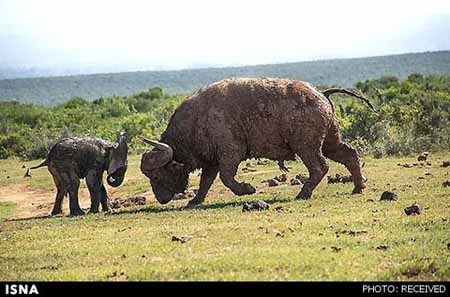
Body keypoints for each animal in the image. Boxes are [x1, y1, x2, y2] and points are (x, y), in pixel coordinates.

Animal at [140, 78, 372, 208]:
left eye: (157, 175)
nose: (161, 199)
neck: (198, 120)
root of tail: (321, 95)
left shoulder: (230, 155)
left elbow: (227, 178)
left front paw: (247, 189)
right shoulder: (212, 162)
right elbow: (206, 182)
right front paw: (195, 201)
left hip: (307, 147)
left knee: (320, 167)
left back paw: (303, 193)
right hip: (329, 142)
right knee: (350, 155)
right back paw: (358, 188)